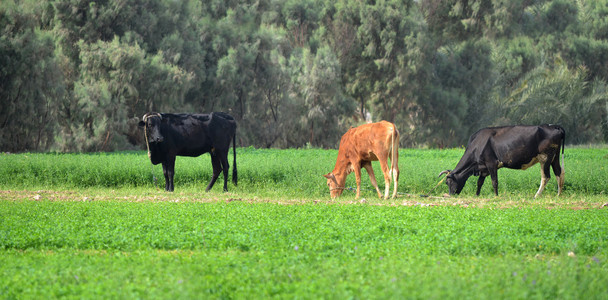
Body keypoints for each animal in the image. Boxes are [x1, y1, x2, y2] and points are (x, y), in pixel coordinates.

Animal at [436, 123, 564, 198]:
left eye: (448, 182)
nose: (451, 195)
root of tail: (553, 126)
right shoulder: (483, 168)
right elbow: (479, 182)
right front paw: (477, 195)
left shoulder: (491, 164)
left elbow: (494, 182)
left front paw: (496, 196)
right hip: (555, 157)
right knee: (559, 172)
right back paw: (558, 195)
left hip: (545, 157)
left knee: (546, 177)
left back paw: (536, 195)